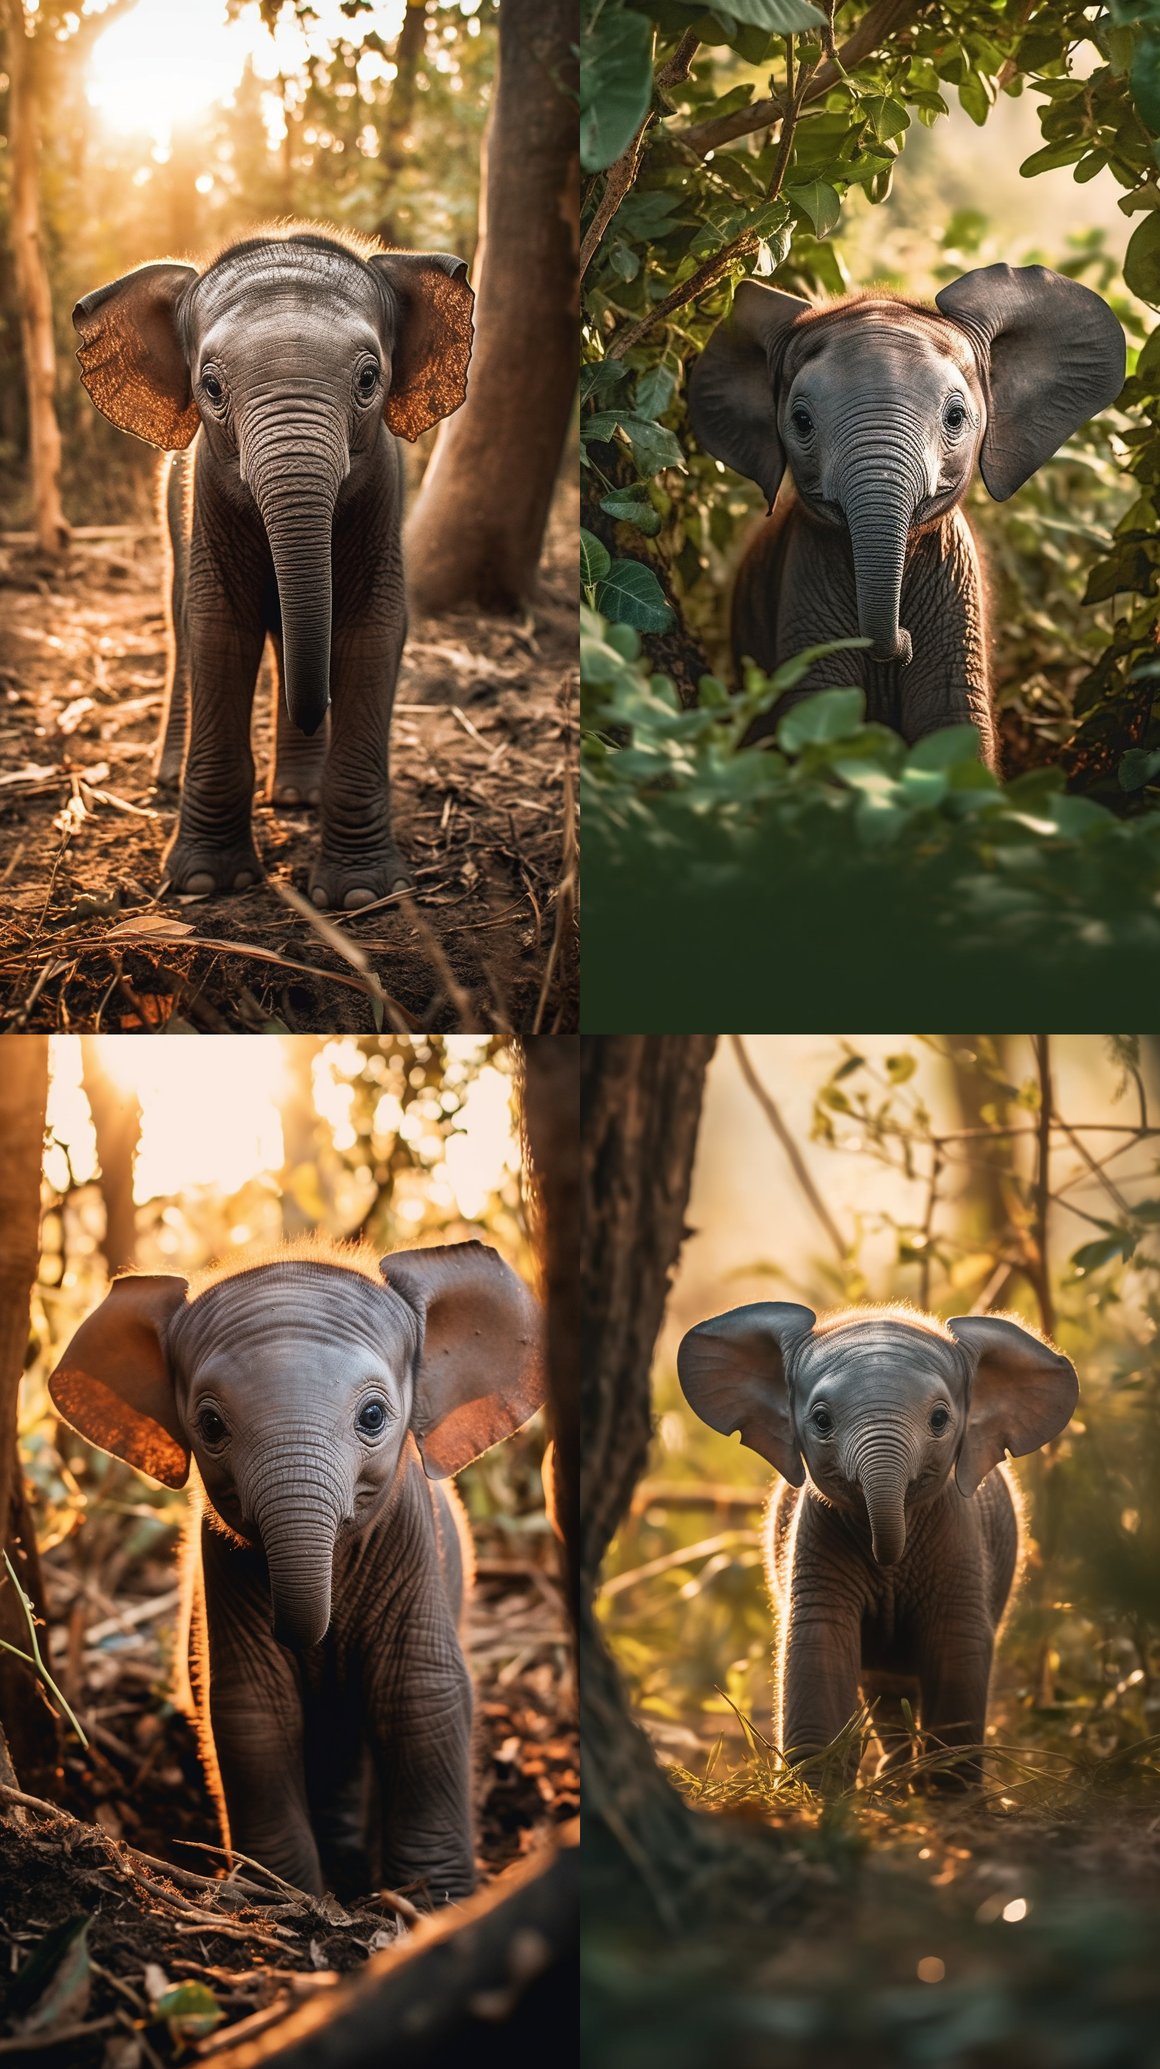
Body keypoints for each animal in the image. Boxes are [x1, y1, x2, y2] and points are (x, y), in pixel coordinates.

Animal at [49, 1238, 543, 1903]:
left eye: (372, 1417)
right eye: (210, 1426)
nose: (308, 1638)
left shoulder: (415, 1547)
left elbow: (421, 1694)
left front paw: (430, 1903)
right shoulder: (222, 1562)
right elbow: (253, 1709)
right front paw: (279, 1894)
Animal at [72, 227, 474, 909]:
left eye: (369, 378)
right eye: (211, 389)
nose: (313, 709)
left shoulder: (385, 490)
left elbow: (372, 630)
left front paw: (361, 895)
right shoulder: (206, 491)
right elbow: (217, 629)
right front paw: (206, 883)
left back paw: (295, 797)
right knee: (181, 623)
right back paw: (175, 777)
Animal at [678, 1301, 1078, 1783]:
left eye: (939, 1419)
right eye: (822, 1420)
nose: (884, 1559)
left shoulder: (960, 1536)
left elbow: (957, 1643)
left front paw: (950, 1788)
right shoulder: (817, 1535)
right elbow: (820, 1639)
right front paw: (816, 1786)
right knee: (883, 1689)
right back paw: (894, 1776)